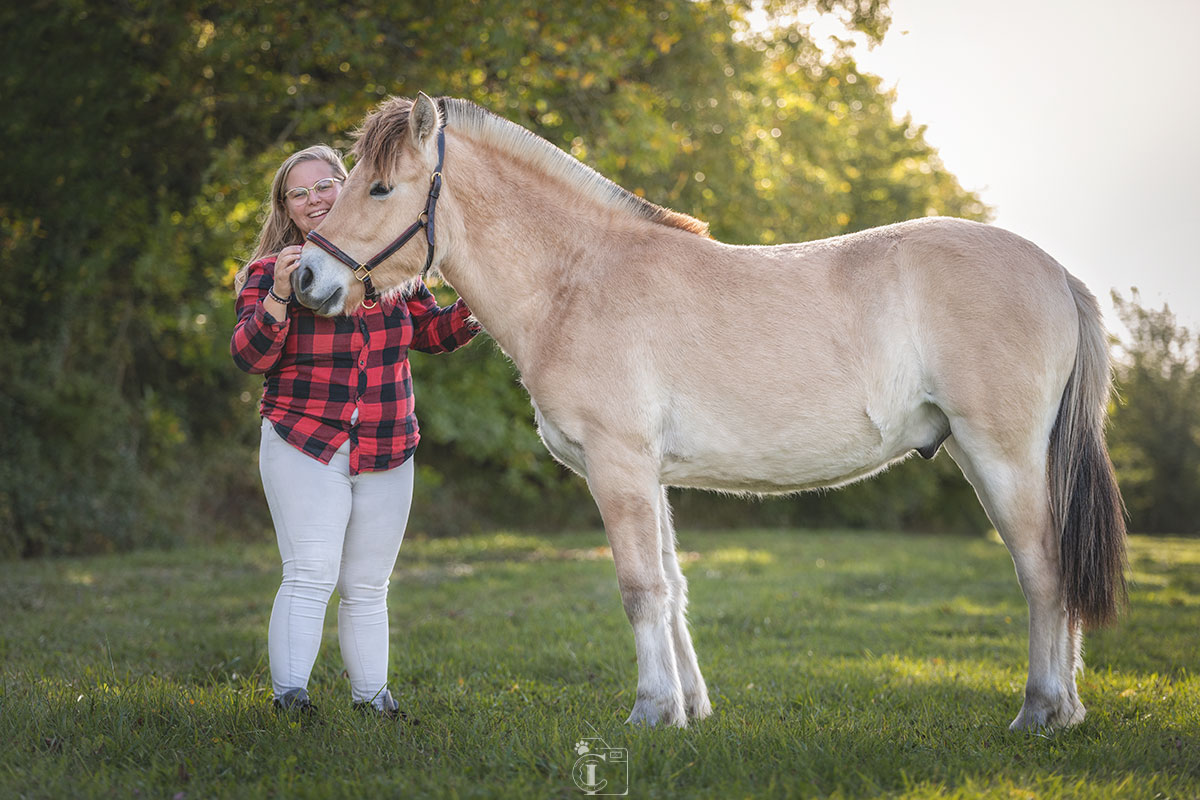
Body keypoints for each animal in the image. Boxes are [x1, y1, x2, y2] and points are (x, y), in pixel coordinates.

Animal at [290, 94, 1123, 734]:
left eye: (379, 189)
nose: (304, 279)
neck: (576, 279)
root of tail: (1055, 271)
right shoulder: (648, 475)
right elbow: (671, 589)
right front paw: (689, 708)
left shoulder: (618, 466)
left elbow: (639, 590)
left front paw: (651, 712)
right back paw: (1065, 713)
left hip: (1000, 456)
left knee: (1043, 572)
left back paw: (1040, 712)